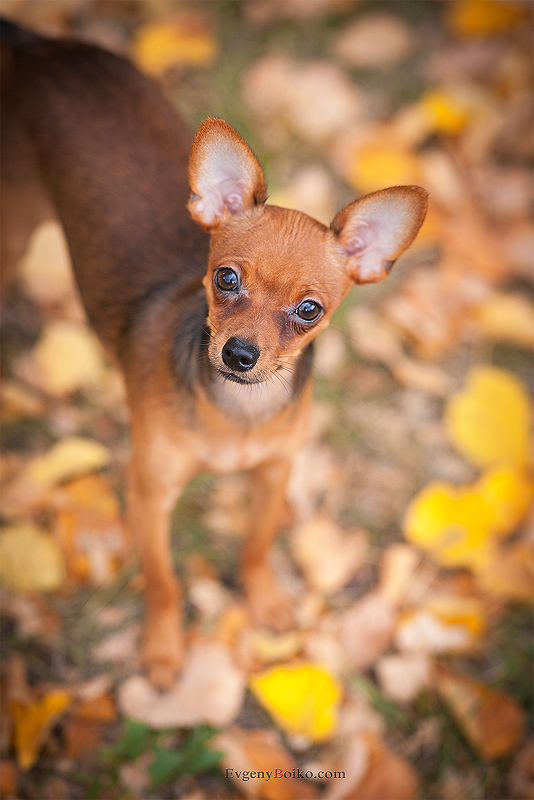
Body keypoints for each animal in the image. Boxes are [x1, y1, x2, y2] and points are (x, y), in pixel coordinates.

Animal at [0, 21, 428, 692]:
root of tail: (37, 44)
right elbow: (164, 582)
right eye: (226, 278)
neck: (238, 411)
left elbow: (256, 544)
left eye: (310, 310)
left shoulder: (274, 473)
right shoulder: (149, 497)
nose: (242, 352)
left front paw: (268, 603)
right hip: (12, 233)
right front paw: (163, 650)